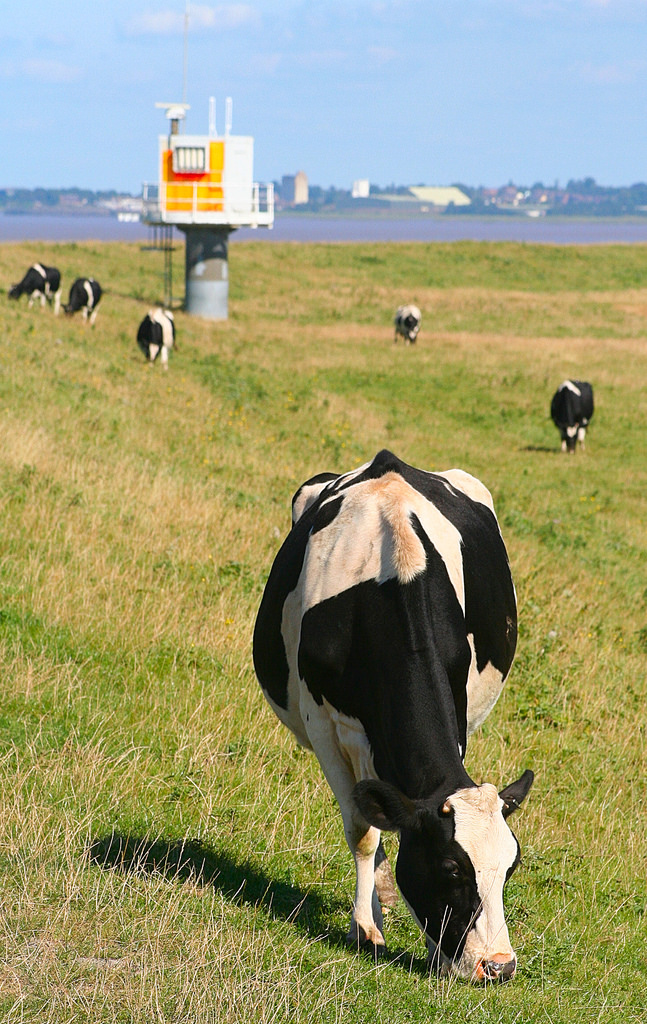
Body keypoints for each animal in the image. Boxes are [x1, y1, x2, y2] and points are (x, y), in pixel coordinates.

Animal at [254, 450, 532, 983]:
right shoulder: (324, 727)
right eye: (450, 868)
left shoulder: (459, 707)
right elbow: (363, 830)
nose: (499, 966)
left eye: (511, 867)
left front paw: (429, 948)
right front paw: (366, 927)